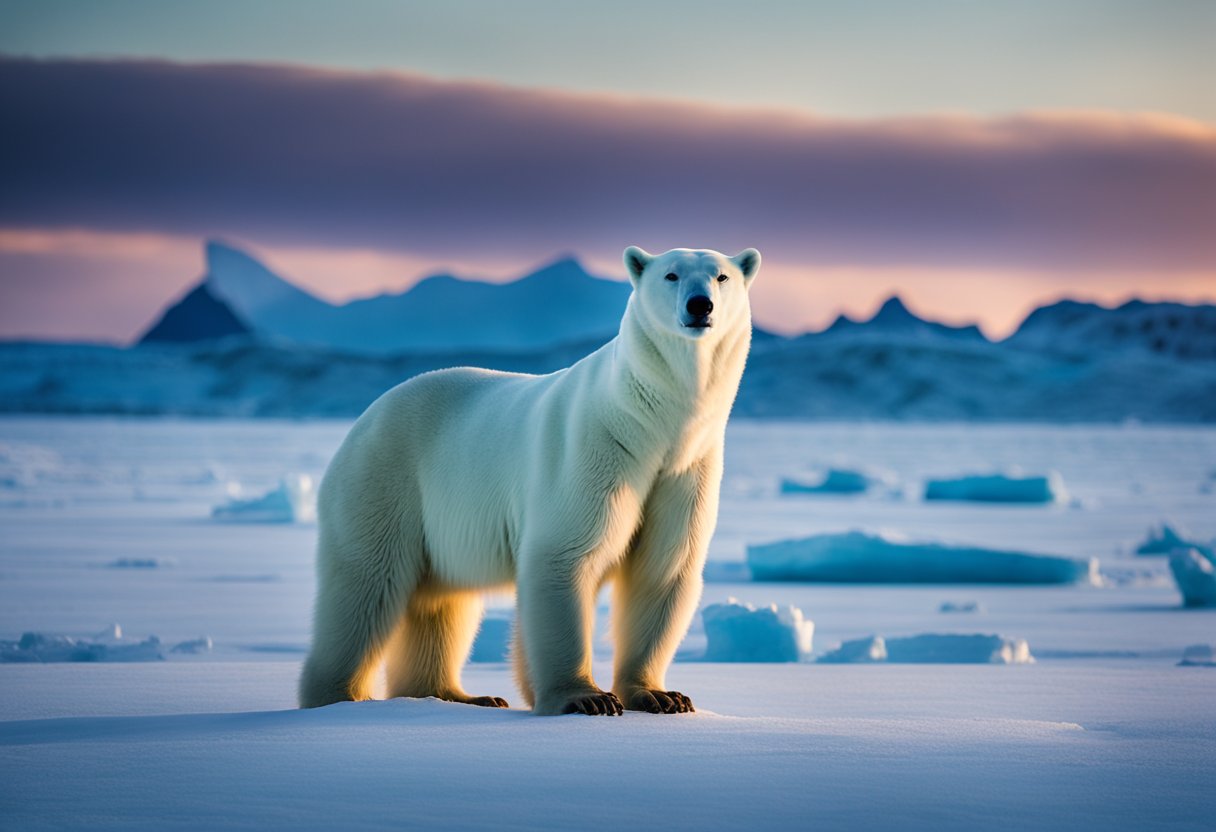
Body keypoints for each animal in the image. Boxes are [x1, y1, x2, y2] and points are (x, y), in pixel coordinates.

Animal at [297, 245, 758, 715]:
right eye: (671, 274)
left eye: (720, 276)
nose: (699, 306)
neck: (652, 426)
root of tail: (364, 419)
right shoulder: (596, 452)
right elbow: (565, 556)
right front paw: (586, 698)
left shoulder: (685, 470)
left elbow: (665, 568)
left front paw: (662, 695)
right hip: (385, 482)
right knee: (366, 587)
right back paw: (341, 697)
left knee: (440, 601)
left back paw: (460, 694)